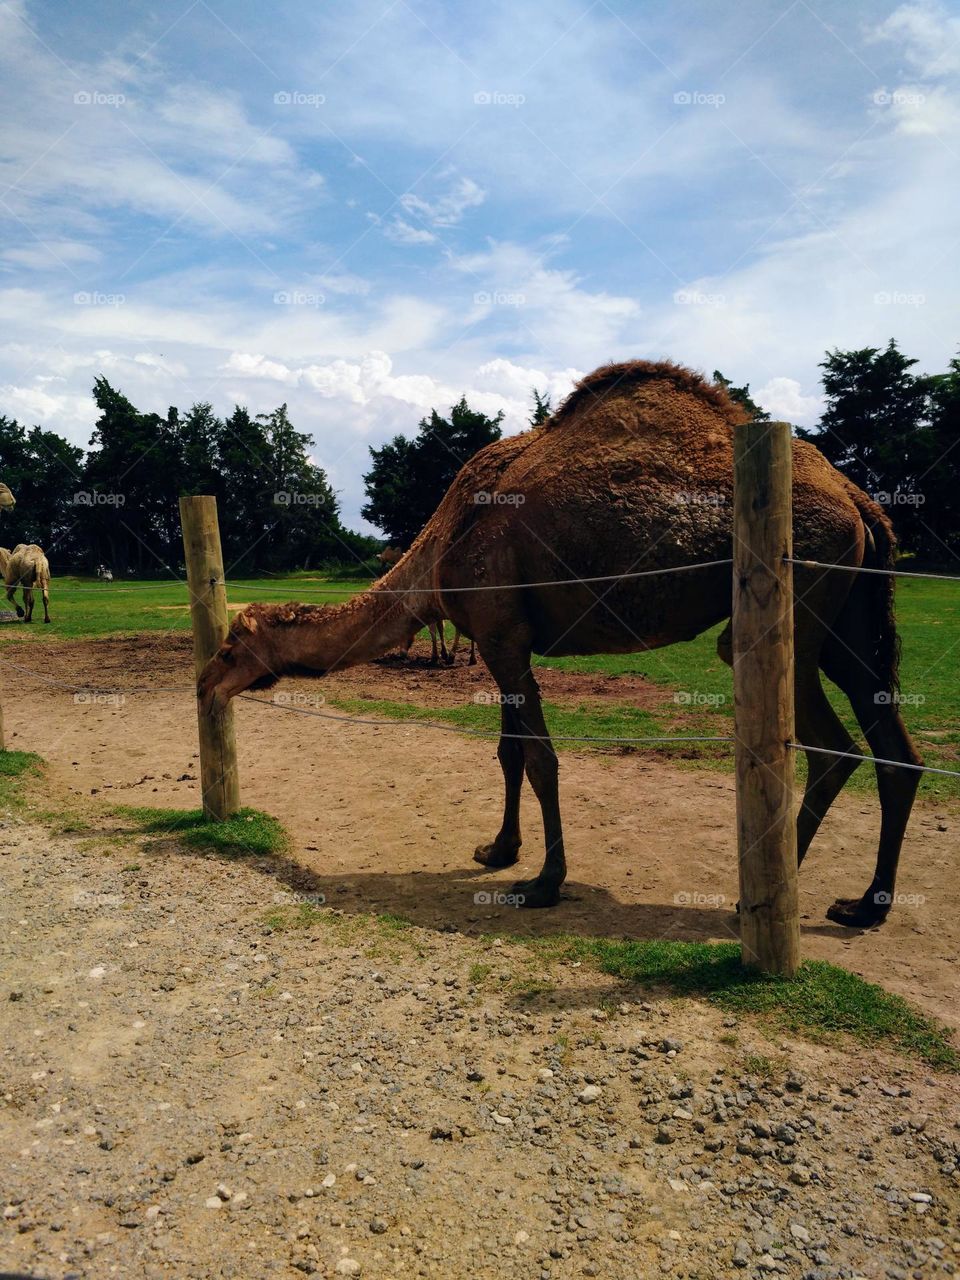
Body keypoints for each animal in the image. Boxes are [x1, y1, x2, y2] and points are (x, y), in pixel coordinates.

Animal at [199, 359, 922, 930]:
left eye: (232, 648)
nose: (203, 683)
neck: (439, 547)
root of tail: (858, 500)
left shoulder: (501, 634)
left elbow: (540, 758)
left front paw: (544, 883)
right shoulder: (498, 636)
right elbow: (508, 753)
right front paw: (497, 850)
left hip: (790, 601)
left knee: (830, 749)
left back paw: (757, 903)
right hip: (850, 610)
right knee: (896, 751)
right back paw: (865, 905)